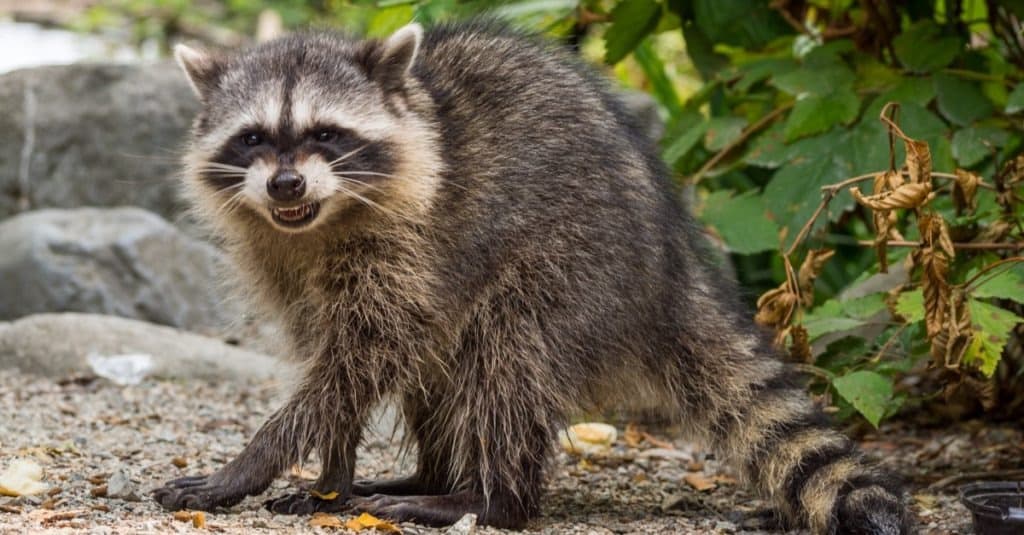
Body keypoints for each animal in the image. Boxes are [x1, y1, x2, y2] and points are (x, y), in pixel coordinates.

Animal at [153, 20, 913, 532]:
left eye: (326, 135)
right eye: (253, 138)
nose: (285, 185)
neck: (319, 223)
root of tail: (671, 270)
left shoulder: (412, 247)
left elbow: (359, 362)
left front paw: (253, 462)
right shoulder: (285, 264)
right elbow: (337, 364)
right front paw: (331, 476)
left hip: (573, 265)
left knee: (505, 360)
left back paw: (482, 498)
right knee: (446, 371)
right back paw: (427, 473)